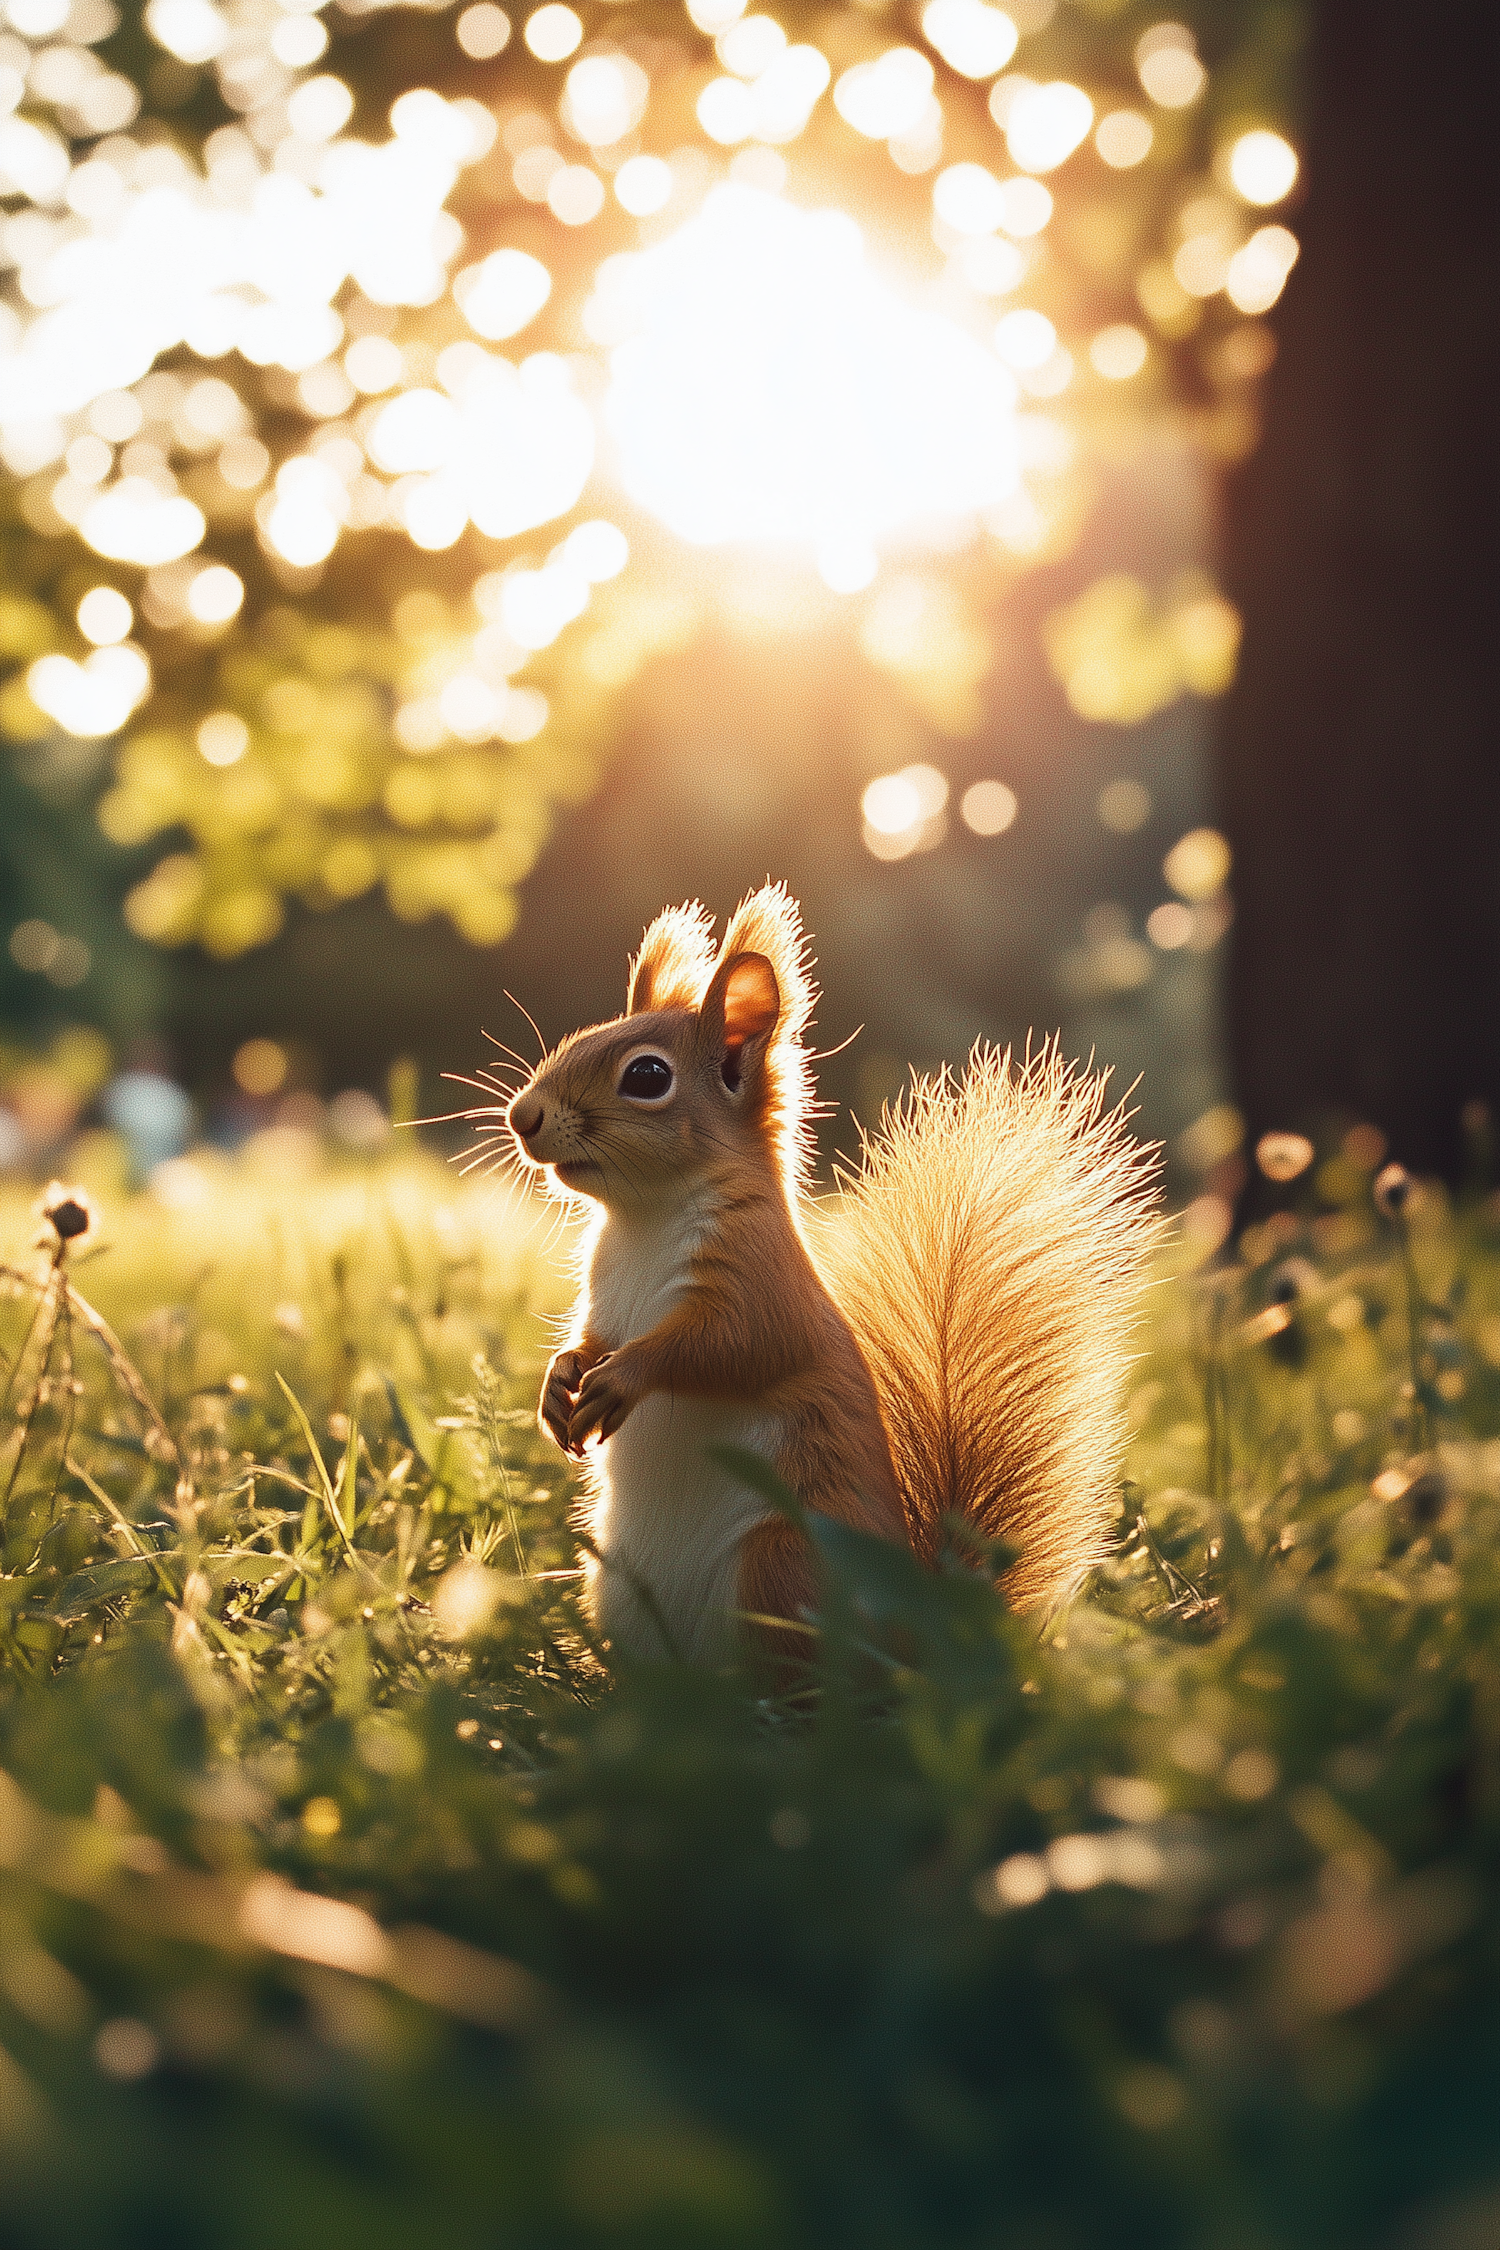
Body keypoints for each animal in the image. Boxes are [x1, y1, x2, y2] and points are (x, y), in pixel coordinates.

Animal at [503, 882, 1160, 1674]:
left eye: (648, 1076)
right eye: (577, 1039)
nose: (522, 1116)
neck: (643, 1218)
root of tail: (921, 1643)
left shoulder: (760, 1281)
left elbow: (731, 1347)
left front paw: (624, 1377)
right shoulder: (603, 1300)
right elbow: (590, 1339)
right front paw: (559, 1382)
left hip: (779, 1566)